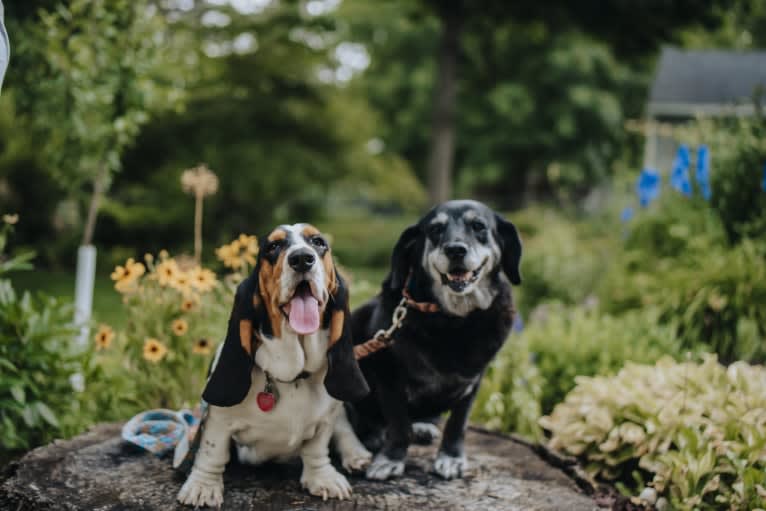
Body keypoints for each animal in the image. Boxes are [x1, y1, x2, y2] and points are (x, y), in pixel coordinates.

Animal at [352, 199, 524, 480]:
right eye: (435, 230)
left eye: (478, 226)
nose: (455, 250)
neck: (452, 320)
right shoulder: (388, 375)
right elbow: (398, 424)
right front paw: (391, 458)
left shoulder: (473, 381)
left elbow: (457, 424)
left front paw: (451, 457)